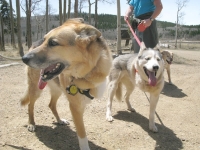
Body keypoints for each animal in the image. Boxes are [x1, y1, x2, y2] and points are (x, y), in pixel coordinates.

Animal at [21, 18, 113, 149]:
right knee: (30, 105)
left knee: (51, 105)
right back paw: (31, 124)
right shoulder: (75, 108)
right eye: (44, 40)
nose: (23, 58)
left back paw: (60, 120)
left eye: (53, 43)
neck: (88, 73)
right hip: (36, 89)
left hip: (57, 90)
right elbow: (82, 134)